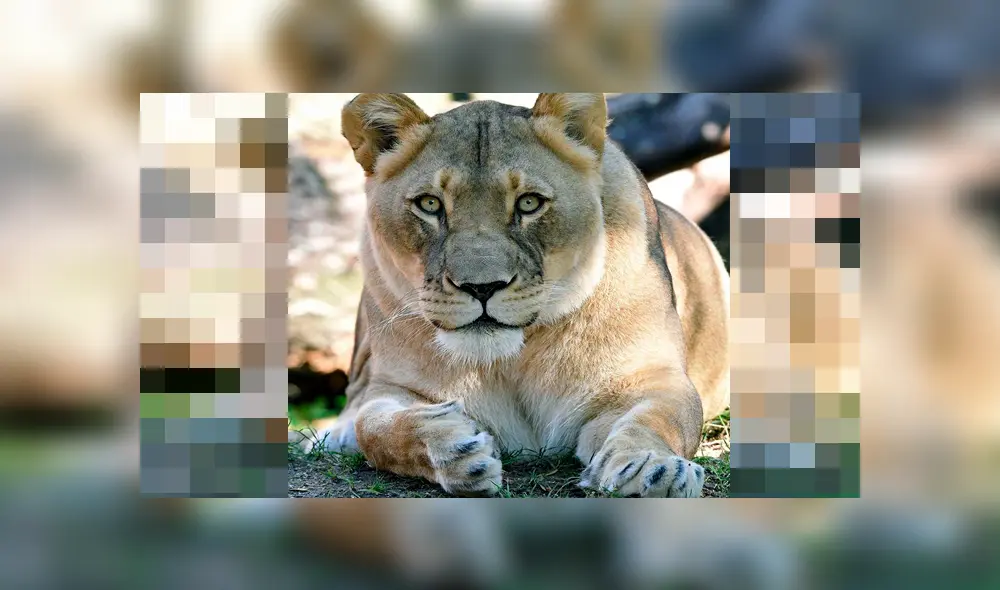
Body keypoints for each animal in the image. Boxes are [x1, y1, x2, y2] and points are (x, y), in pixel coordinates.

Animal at [292, 93, 730, 497]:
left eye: (529, 203)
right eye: (430, 204)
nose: (481, 287)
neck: (511, 359)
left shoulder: (652, 375)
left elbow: (660, 418)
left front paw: (651, 469)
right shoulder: (391, 385)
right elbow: (374, 425)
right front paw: (450, 444)